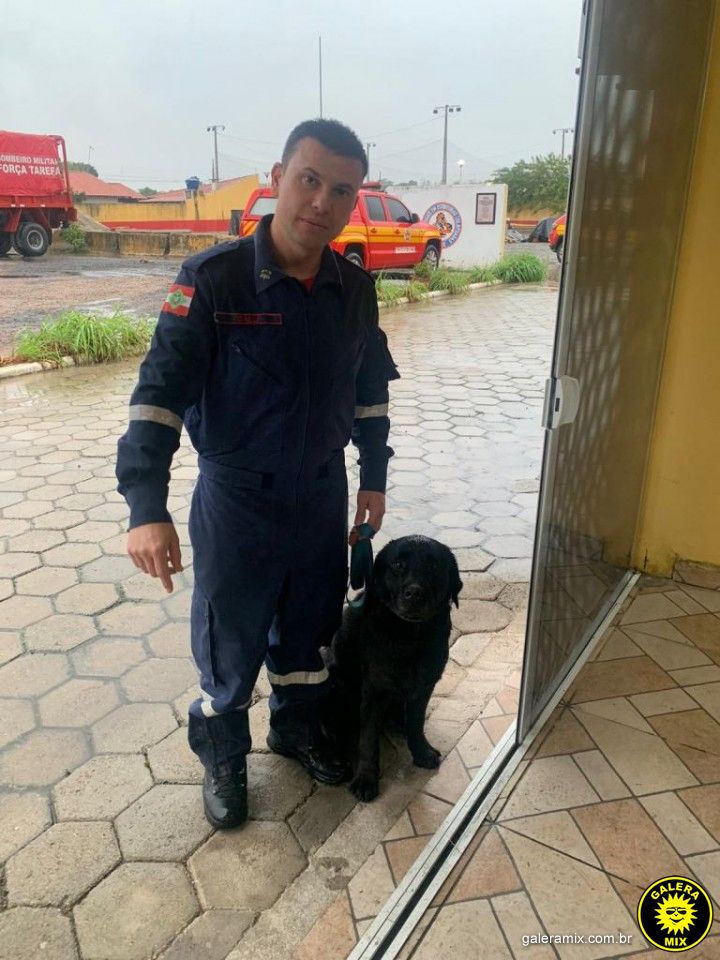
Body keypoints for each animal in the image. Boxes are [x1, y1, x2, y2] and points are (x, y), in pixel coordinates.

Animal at [323, 535, 462, 802]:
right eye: (398, 564)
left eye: (433, 566)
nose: (414, 593)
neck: (410, 637)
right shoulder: (375, 691)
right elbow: (368, 740)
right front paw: (366, 779)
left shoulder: (425, 685)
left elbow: (416, 723)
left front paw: (420, 751)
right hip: (336, 683)